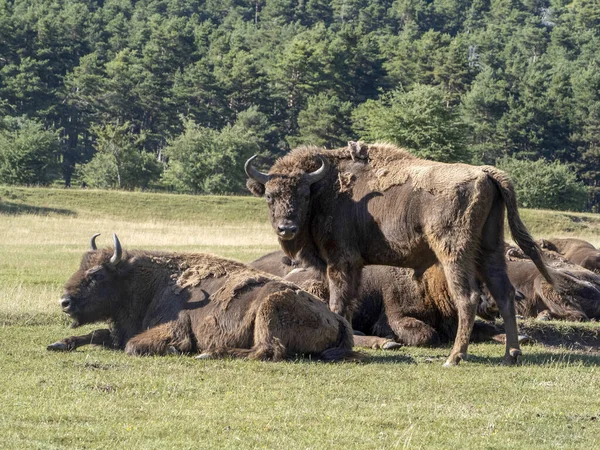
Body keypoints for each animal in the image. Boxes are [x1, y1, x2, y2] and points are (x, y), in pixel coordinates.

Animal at [49, 234, 358, 360]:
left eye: (98, 274)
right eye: (81, 266)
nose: (65, 302)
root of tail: (336, 319)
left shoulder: (173, 329)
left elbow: (132, 345)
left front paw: (176, 350)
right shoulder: (120, 329)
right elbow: (99, 334)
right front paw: (59, 343)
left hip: (269, 310)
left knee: (267, 350)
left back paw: (209, 353)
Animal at [245, 142, 552, 368]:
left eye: (304, 194)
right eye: (270, 195)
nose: (286, 228)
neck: (326, 187)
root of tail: (484, 173)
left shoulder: (340, 261)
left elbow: (338, 304)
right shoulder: (354, 267)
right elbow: (349, 305)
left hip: (455, 252)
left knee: (469, 298)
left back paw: (454, 358)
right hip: (491, 249)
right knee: (504, 294)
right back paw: (511, 354)